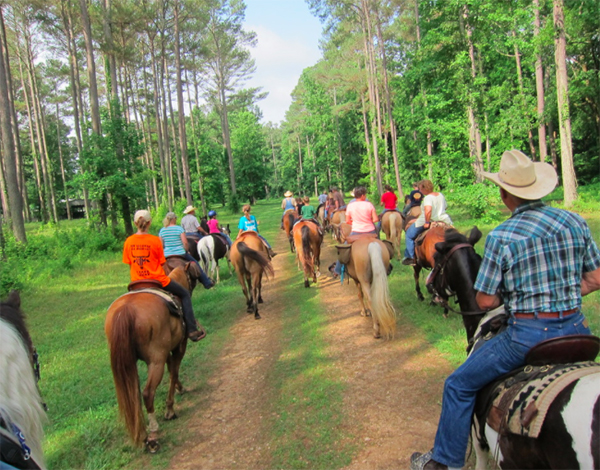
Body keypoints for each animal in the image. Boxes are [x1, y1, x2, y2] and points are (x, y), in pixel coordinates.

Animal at [104, 262, 203, 454]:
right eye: (193, 275)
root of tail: (126, 309)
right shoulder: (179, 346)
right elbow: (174, 371)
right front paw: (170, 409)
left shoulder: (166, 351)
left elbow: (172, 369)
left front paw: (180, 388)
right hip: (155, 360)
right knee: (148, 393)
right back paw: (153, 436)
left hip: (128, 363)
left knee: (134, 396)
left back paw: (143, 435)